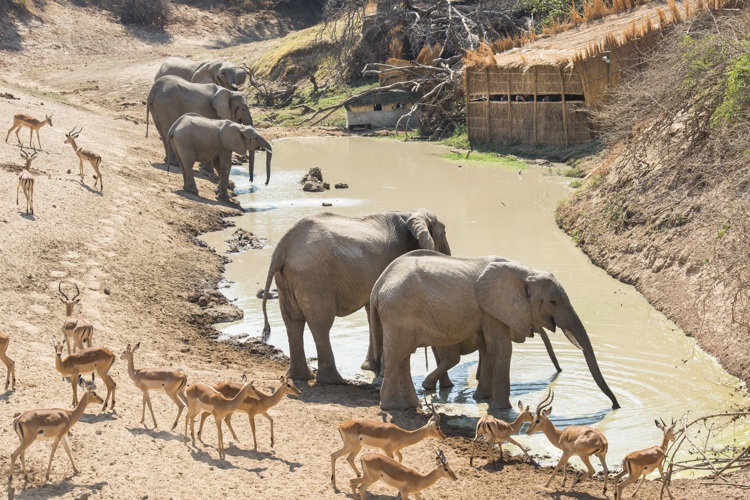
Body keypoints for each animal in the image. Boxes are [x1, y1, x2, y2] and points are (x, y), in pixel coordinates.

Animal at [261, 211, 451, 385]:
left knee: (293, 322)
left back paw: (301, 377)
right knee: (321, 323)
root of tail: (282, 247)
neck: (410, 214)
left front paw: (370, 368)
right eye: (444, 234)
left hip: (287, 279)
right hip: (314, 279)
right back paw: (334, 381)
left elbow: (371, 313)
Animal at [421, 326, 561, 391]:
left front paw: (478, 378)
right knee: (452, 359)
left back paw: (444, 386)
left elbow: (483, 354)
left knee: (440, 359)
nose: (560, 370)